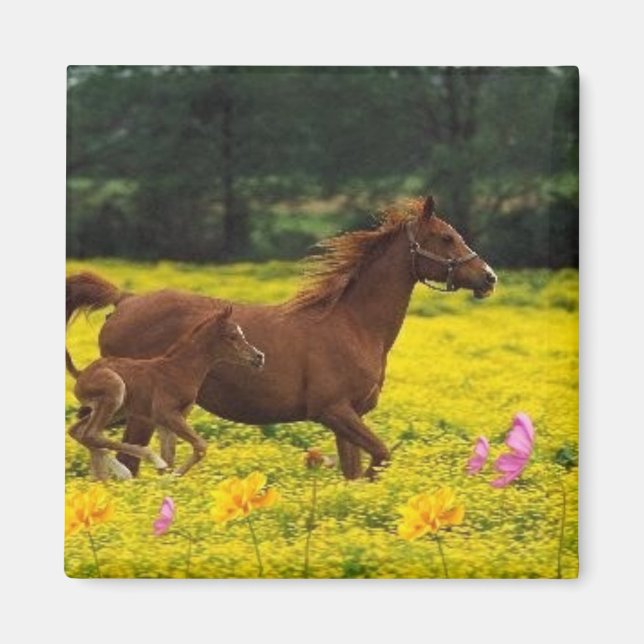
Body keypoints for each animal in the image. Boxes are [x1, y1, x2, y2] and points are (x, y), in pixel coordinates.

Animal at [67, 304, 265, 480]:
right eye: (232, 336)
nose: (259, 357)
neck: (179, 370)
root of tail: (81, 374)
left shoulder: (168, 421)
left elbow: (170, 456)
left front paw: (166, 484)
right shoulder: (165, 413)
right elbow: (200, 446)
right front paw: (170, 477)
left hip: (118, 409)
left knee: (79, 432)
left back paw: (107, 477)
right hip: (115, 391)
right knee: (91, 434)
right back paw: (135, 466)